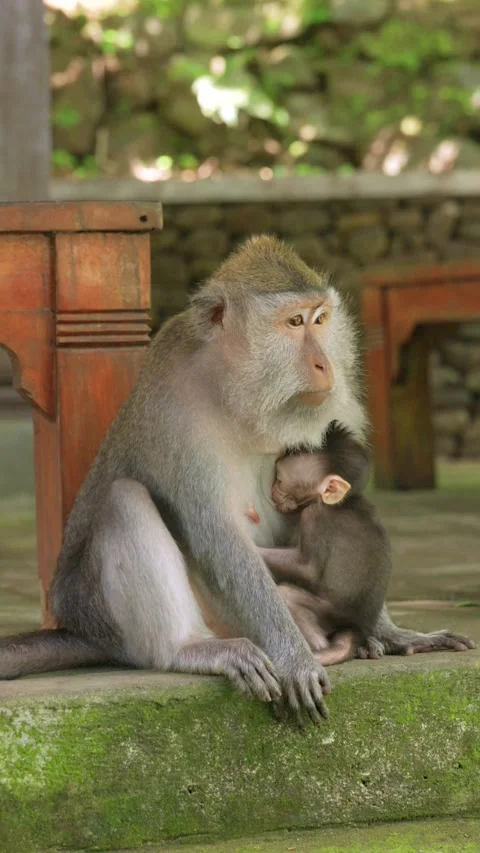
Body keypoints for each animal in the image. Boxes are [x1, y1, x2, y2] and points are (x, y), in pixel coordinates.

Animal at [0, 237, 474, 726]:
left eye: (321, 319)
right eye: (294, 322)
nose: (325, 365)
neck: (235, 392)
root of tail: (81, 626)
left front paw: (397, 632)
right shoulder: (176, 410)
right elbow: (218, 534)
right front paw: (293, 657)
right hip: (112, 614)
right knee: (124, 498)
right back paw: (190, 649)